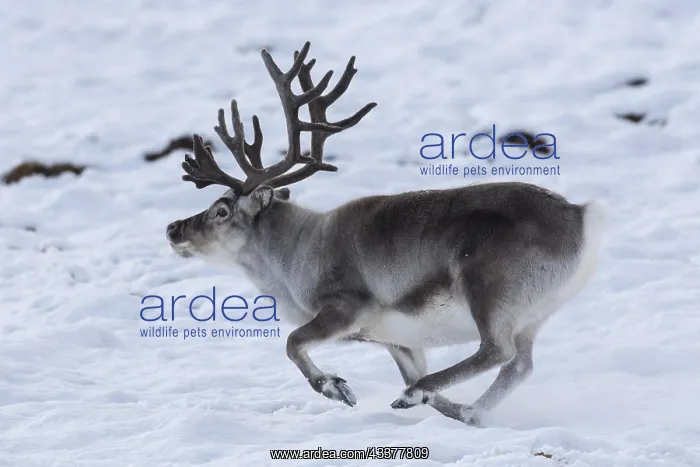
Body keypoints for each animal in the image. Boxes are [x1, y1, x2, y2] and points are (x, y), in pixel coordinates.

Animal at [165, 41, 606, 426]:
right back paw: (468, 412)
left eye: (221, 210)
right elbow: (413, 374)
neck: (292, 258)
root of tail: (580, 215)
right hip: (534, 313)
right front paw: (440, 405)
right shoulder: (397, 339)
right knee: (520, 364)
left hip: (488, 288)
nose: (173, 228)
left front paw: (337, 387)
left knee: (497, 350)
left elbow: (291, 342)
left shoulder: (346, 307)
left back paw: (426, 396)